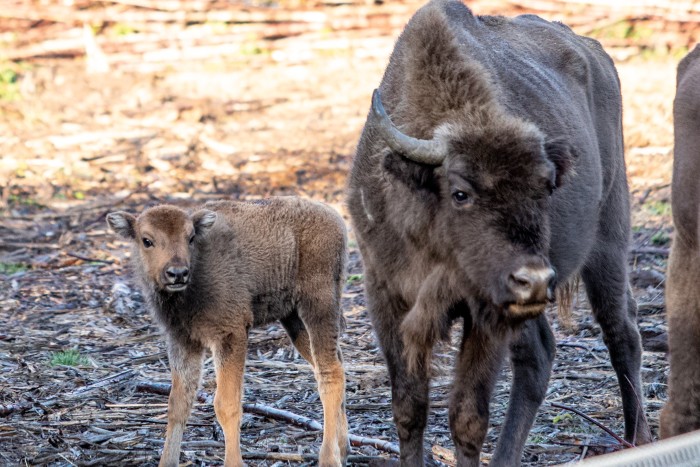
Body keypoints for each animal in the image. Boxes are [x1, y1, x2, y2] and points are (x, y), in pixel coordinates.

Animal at [107, 198, 350, 467]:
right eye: (146, 240)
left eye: (190, 237)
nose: (177, 273)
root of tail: (334, 216)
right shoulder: (183, 341)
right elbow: (178, 404)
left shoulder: (230, 335)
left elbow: (226, 405)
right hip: (293, 319)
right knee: (333, 364)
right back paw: (343, 447)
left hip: (319, 305)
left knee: (331, 374)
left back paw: (329, 458)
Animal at [348, 0, 652, 464]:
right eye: (460, 192)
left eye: (545, 188)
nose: (534, 280)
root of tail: (597, 53)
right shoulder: (386, 296)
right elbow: (409, 407)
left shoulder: (485, 312)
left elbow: (467, 417)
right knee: (541, 355)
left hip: (609, 242)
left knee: (622, 333)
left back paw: (638, 437)